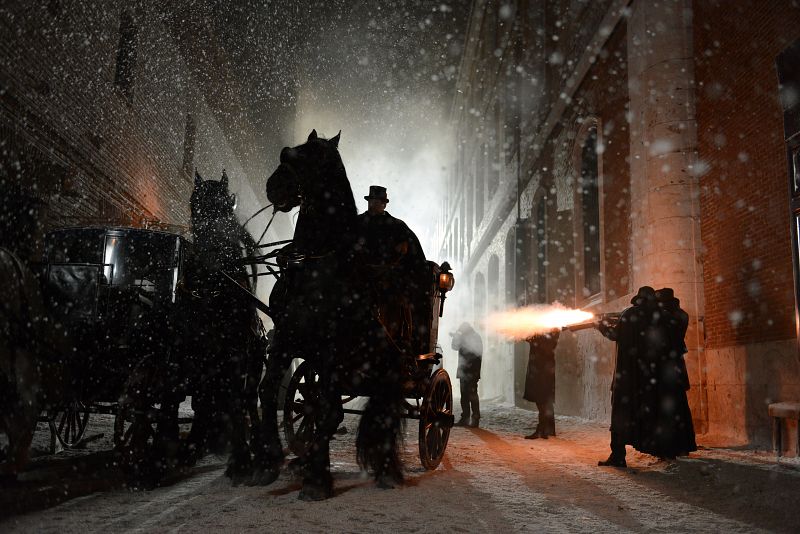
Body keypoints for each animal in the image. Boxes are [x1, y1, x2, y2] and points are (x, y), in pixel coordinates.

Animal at [182, 173, 266, 486]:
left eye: (227, 208)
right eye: (194, 205)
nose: (209, 259)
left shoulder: (236, 355)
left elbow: (234, 400)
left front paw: (241, 461)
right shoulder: (198, 356)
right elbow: (202, 400)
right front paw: (193, 446)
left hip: (254, 364)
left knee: (249, 400)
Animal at [253, 130, 406, 502]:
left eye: (316, 157)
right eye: (290, 150)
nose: (275, 186)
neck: (317, 268)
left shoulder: (329, 349)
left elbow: (326, 409)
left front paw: (317, 480)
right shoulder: (285, 339)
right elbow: (269, 391)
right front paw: (270, 461)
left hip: (384, 368)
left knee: (384, 410)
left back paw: (387, 471)